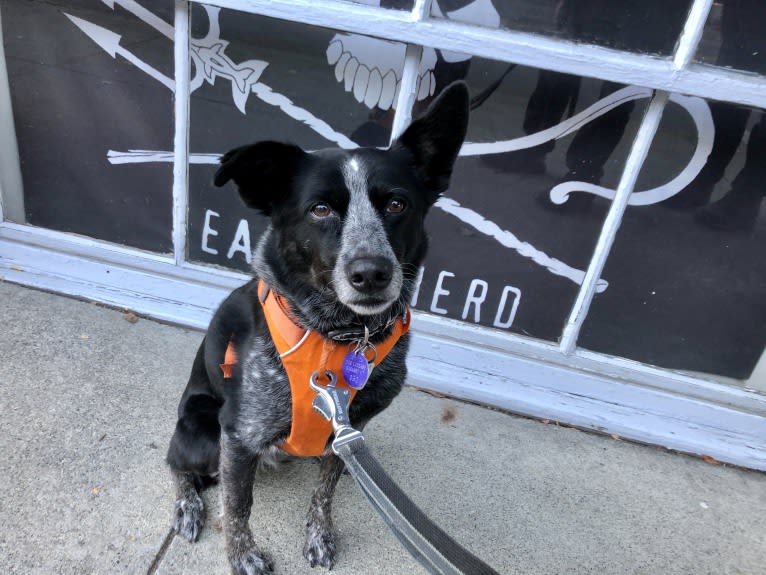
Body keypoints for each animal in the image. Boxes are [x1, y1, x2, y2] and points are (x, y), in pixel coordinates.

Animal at [166, 81, 472, 575]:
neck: (340, 336)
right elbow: (238, 506)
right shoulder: (239, 436)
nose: (371, 273)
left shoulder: (349, 432)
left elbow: (324, 492)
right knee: (177, 464)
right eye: (321, 209)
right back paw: (187, 507)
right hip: (203, 435)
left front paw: (319, 536)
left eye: (397, 203)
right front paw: (242, 555)